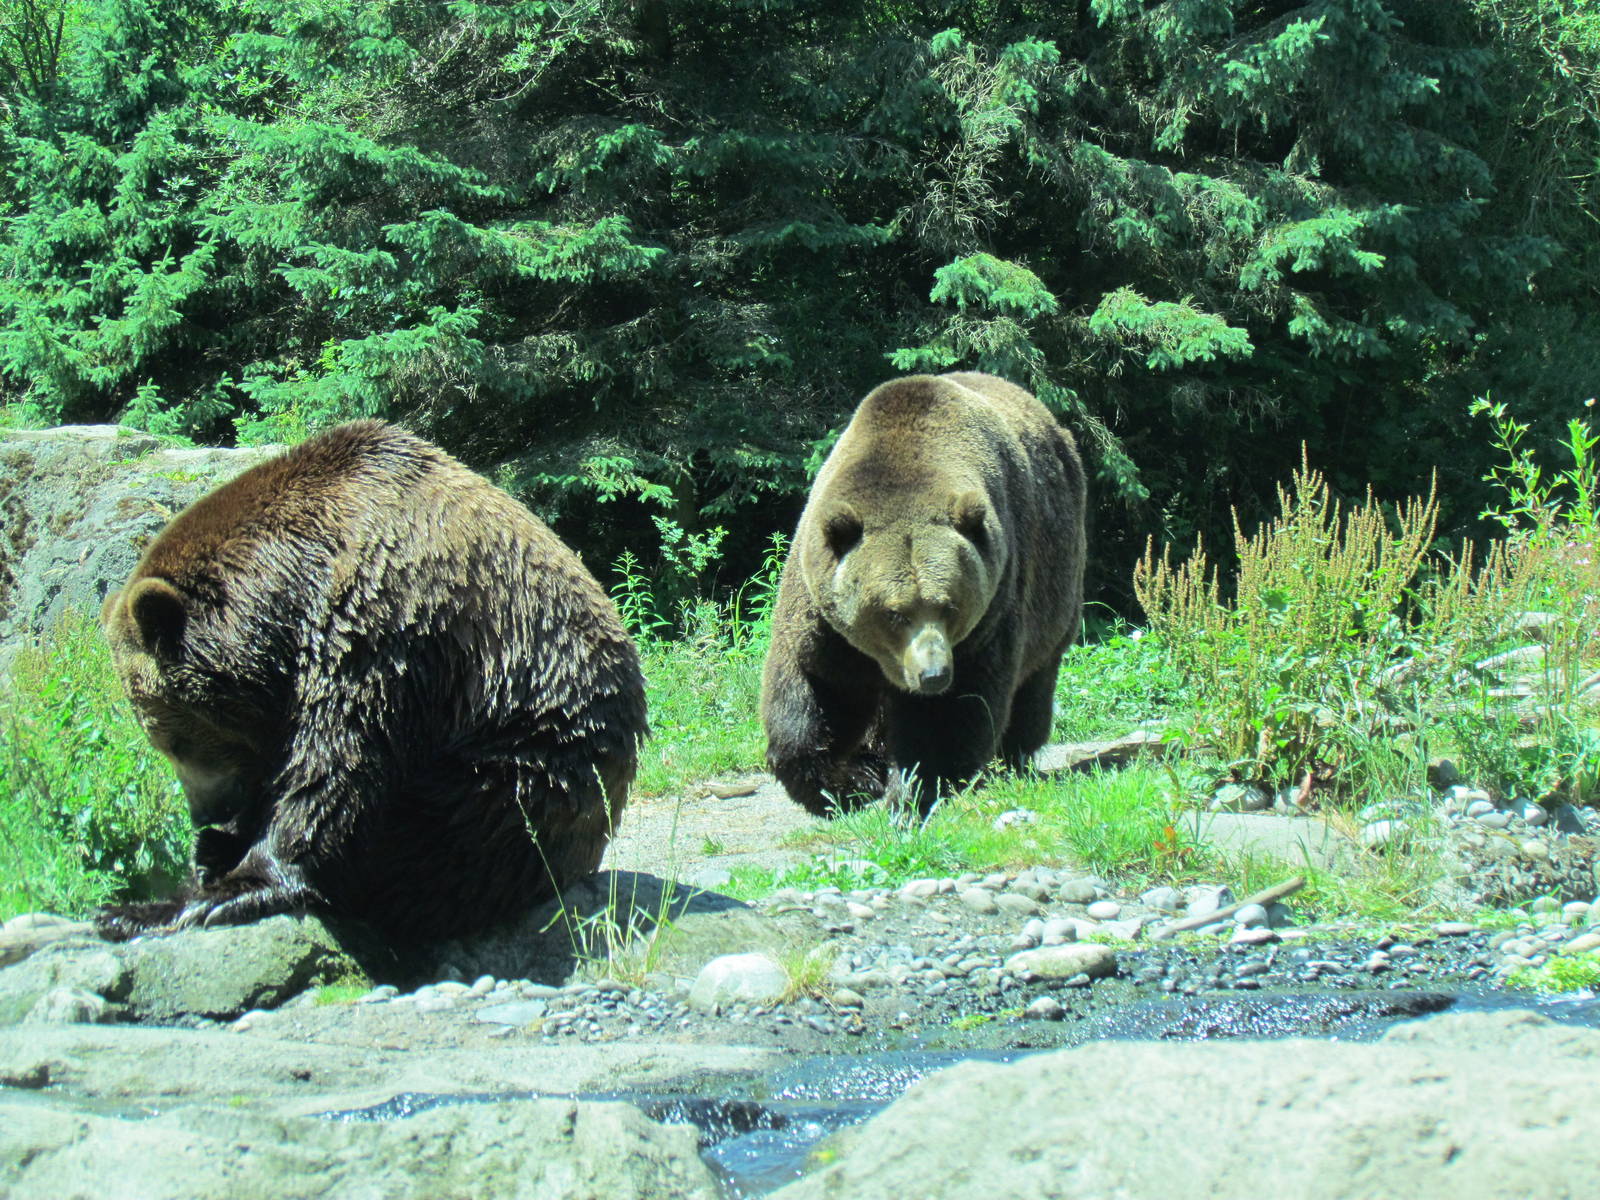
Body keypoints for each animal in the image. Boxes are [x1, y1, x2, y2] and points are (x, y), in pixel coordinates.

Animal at [96, 420, 647, 942]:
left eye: (174, 741)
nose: (204, 814)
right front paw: (216, 849)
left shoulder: (383, 629)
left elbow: (336, 764)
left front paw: (209, 894)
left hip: (525, 770)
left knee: (436, 846)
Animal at [761, 372, 1086, 816]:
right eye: (893, 613)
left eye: (950, 606)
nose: (933, 674)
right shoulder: (823, 619)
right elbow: (815, 692)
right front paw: (842, 785)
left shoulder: (990, 613)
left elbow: (948, 716)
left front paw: (911, 794)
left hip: (1056, 587)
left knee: (1034, 683)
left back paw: (1013, 759)